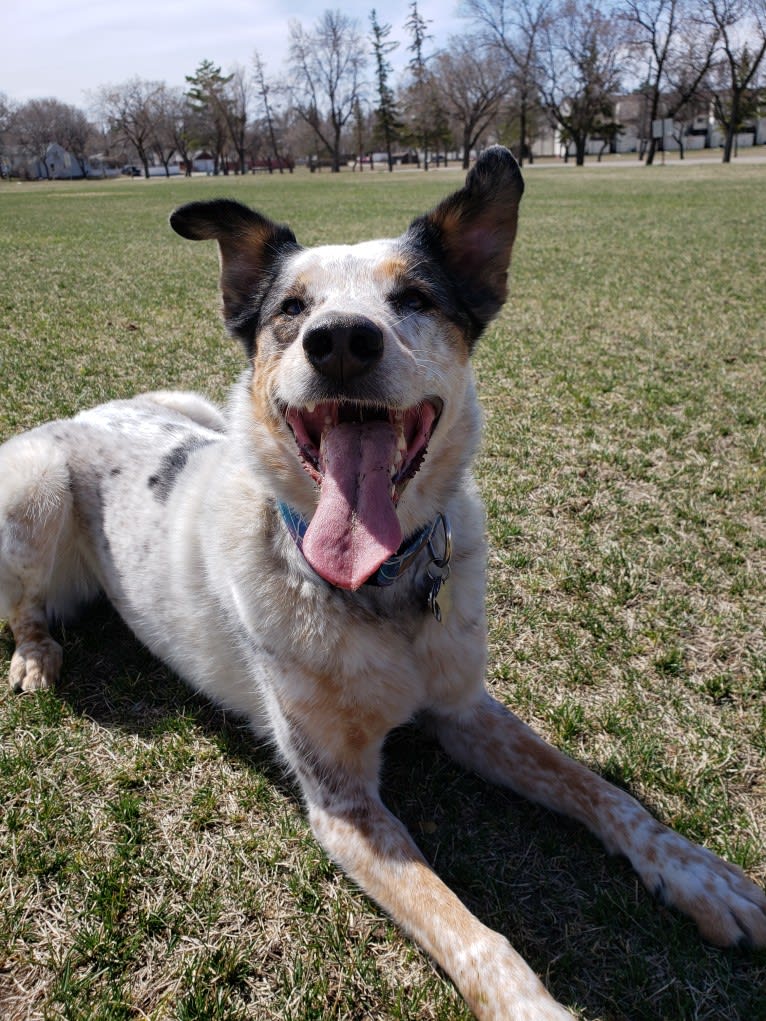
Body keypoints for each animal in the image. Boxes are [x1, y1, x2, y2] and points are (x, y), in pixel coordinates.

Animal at [1, 146, 766, 1021]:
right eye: (291, 308)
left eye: (415, 297)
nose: (339, 340)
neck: (383, 588)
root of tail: (90, 412)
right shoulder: (344, 804)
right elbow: (470, 928)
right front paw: (533, 1005)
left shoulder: (466, 710)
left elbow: (603, 791)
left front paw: (700, 875)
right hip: (32, 487)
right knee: (23, 607)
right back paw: (35, 657)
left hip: (186, 408)